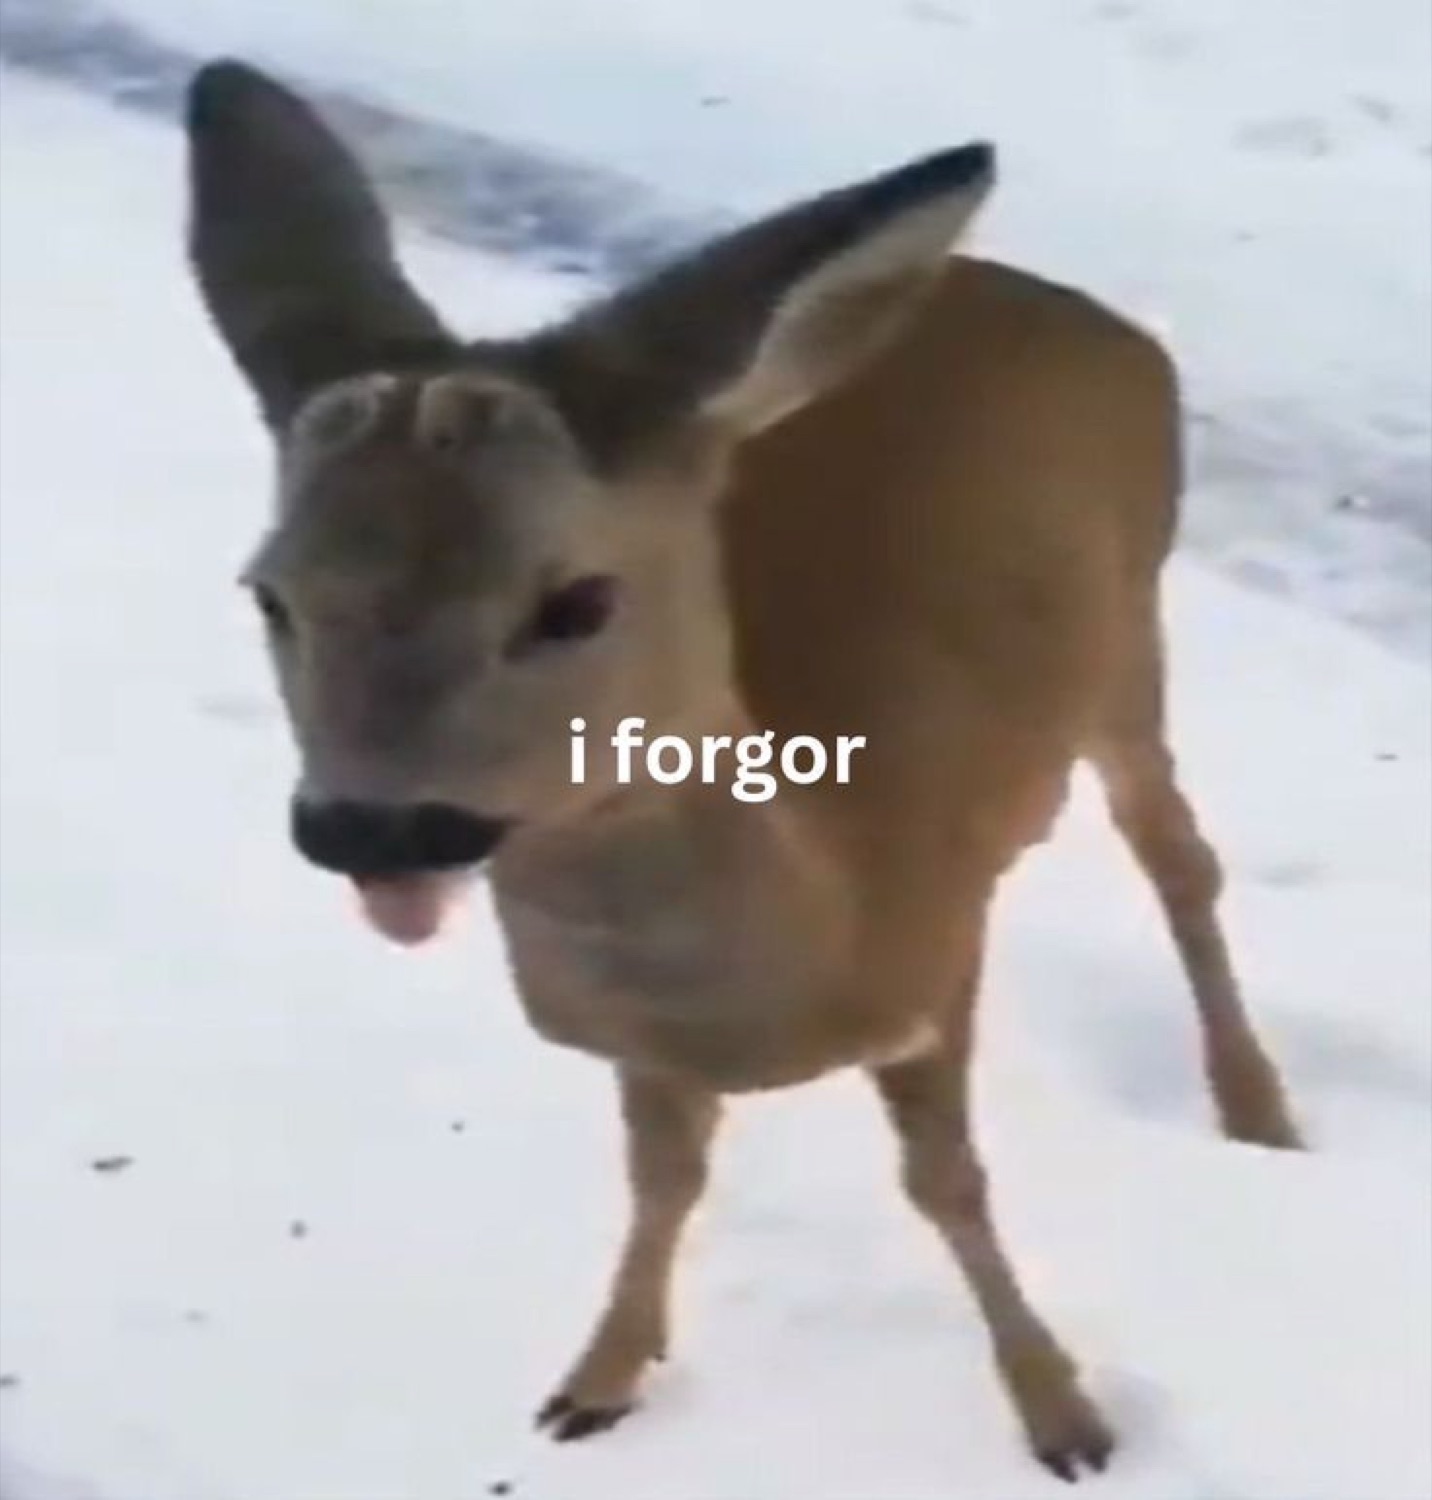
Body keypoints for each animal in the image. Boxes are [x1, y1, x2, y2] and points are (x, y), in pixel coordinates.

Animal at [184, 59, 1304, 1482]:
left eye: (576, 599)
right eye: (269, 592)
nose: (374, 827)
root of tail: (1081, 314)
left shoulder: (937, 946)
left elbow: (945, 1181)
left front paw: (1064, 1417)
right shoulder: (630, 1041)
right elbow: (663, 1177)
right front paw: (598, 1377)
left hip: (1131, 636)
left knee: (1178, 855)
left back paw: (1260, 1110)